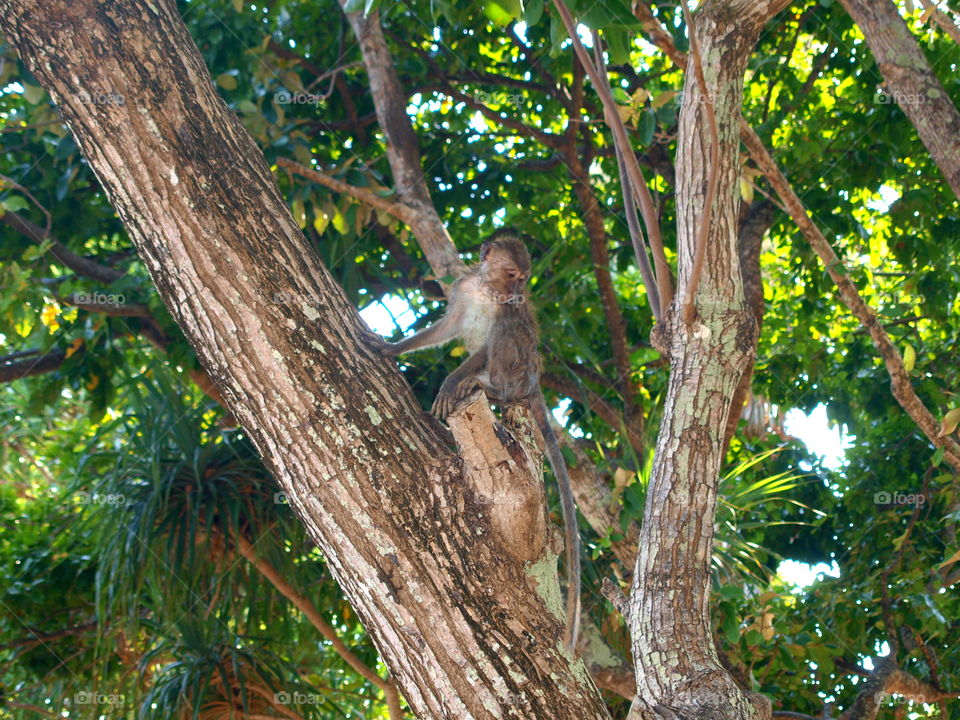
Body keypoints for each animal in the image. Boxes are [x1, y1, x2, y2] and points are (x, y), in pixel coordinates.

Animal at [376, 229, 584, 652]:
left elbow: (490, 340)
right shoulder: (462, 288)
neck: (488, 289)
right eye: (512, 275)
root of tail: (533, 383)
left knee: (508, 334)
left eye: (523, 279)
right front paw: (395, 348)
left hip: (520, 368)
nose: (517, 292)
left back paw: (492, 390)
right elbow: (448, 327)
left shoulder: (505, 310)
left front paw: (450, 381)